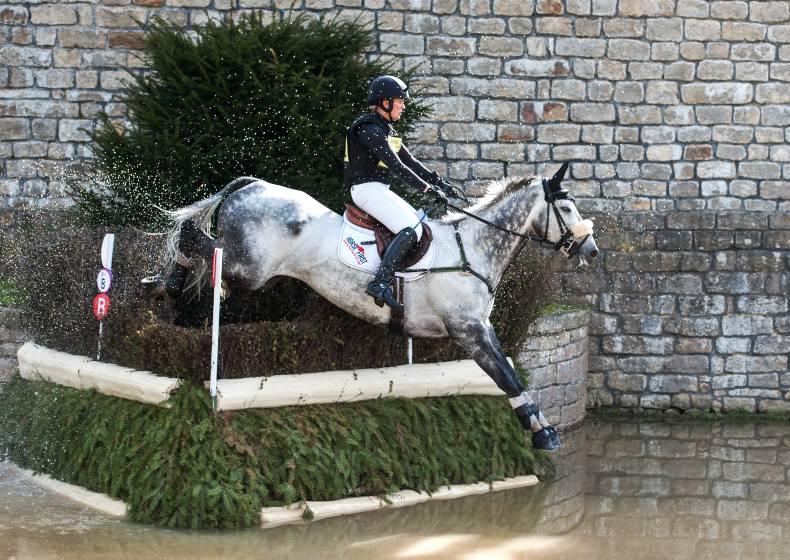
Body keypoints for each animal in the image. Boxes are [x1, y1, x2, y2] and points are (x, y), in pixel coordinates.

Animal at [158, 163, 598, 451]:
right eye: (567, 208)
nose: (590, 249)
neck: (473, 249)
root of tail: (253, 186)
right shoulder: (468, 331)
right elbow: (507, 377)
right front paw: (542, 432)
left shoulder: (481, 328)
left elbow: (510, 374)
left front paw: (541, 426)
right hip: (247, 267)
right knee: (195, 234)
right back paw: (169, 282)